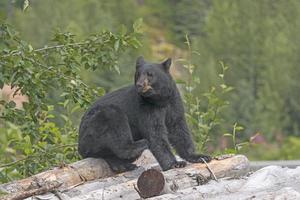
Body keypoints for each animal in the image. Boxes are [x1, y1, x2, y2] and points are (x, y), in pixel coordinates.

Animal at [78, 56, 212, 172]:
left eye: (150, 74)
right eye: (138, 74)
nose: (140, 84)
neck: (159, 100)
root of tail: (79, 145)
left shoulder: (174, 103)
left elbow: (178, 128)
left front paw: (200, 156)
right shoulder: (146, 108)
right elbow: (155, 133)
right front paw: (174, 163)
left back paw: (122, 165)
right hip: (93, 128)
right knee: (114, 119)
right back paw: (139, 145)